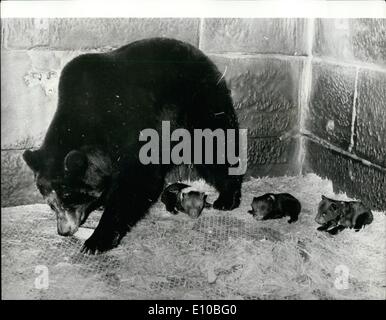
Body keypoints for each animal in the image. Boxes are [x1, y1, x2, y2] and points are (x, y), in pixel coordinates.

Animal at [22, 37, 243, 254]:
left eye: (69, 197)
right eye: (51, 204)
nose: (64, 231)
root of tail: (201, 54)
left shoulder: (130, 122)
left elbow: (138, 178)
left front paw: (97, 240)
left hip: (200, 103)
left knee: (214, 146)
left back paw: (227, 198)